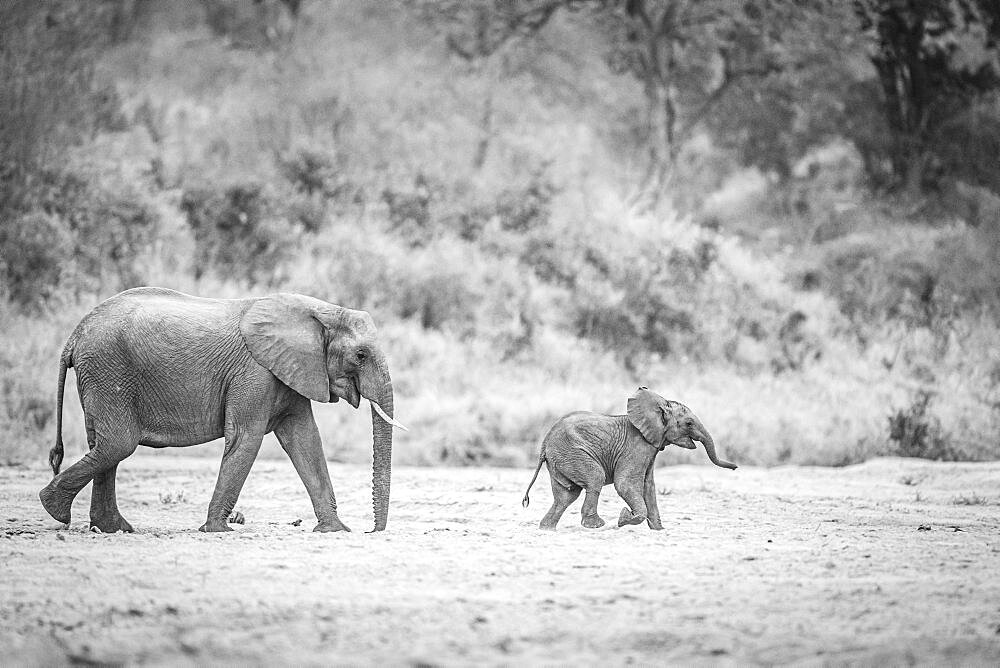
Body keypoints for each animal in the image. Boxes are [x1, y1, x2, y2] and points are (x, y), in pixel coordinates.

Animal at [38, 286, 406, 532]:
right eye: (360, 355)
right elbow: (247, 437)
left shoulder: (290, 371)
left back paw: (113, 528)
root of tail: (74, 336)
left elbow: (304, 440)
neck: (322, 310)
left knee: (103, 445)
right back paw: (56, 510)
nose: (371, 530)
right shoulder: (256, 371)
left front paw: (334, 530)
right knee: (118, 443)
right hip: (107, 369)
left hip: (101, 374)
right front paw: (218, 530)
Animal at [524, 388, 736, 528]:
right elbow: (625, 483)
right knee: (594, 479)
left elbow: (648, 486)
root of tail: (544, 443)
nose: (735, 467)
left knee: (566, 495)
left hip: (561, 459)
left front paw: (658, 530)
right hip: (572, 452)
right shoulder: (637, 446)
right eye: (689, 423)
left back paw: (547, 528)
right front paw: (624, 518)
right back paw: (596, 525)